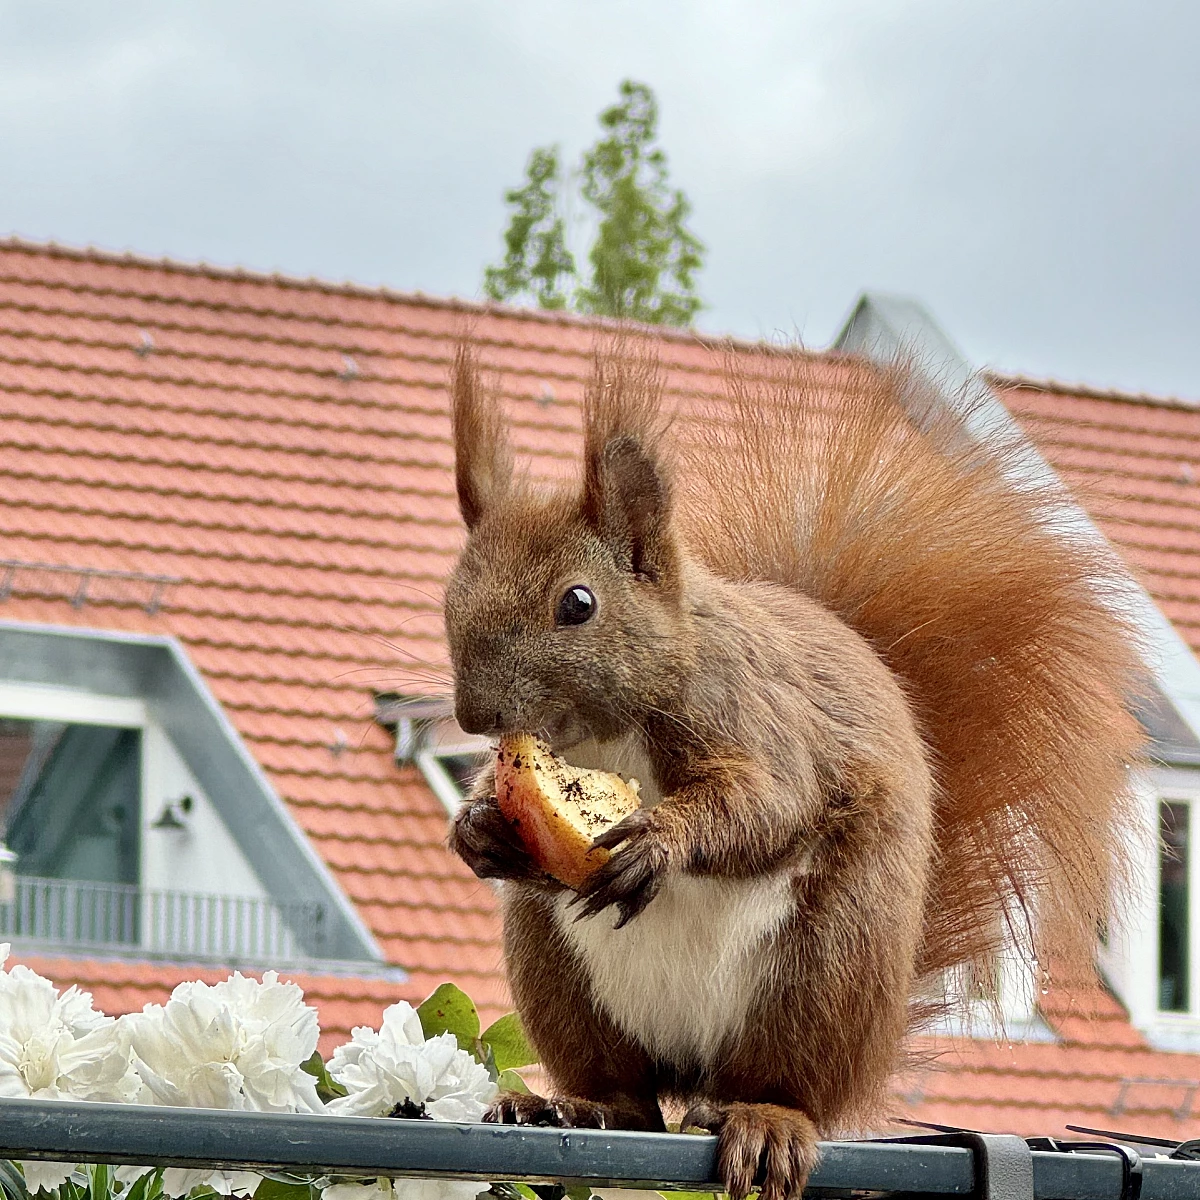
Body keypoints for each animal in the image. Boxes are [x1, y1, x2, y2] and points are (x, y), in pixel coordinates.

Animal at [441, 338, 1142, 1200]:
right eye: (452, 594)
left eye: (578, 603)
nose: (476, 715)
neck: (605, 734)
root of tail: (695, 1076)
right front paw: (477, 828)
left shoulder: (755, 713)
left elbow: (770, 802)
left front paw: (659, 843)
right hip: (559, 975)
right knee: (629, 1100)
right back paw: (574, 1106)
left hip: (823, 971)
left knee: (782, 1086)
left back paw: (765, 1123)